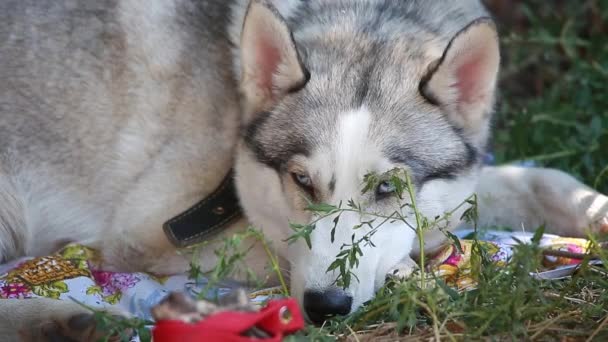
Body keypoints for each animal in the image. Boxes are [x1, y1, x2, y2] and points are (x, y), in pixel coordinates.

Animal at [1, 0, 608, 338]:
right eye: (300, 181)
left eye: (388, 187)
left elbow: (530, 179)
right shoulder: (147, 232)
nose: (324, 308)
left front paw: (592, 211)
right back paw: (58, 323)